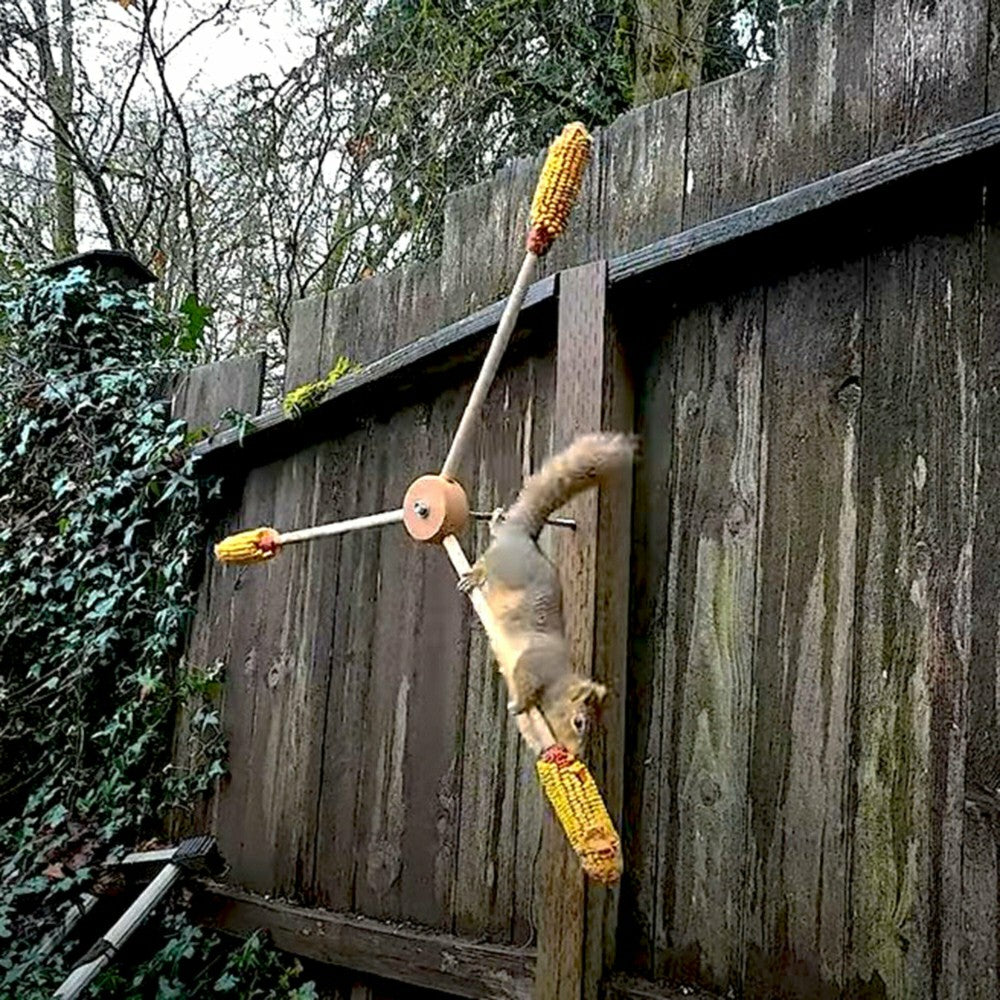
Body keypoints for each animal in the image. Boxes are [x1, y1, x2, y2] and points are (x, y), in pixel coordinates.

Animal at [458, 432, 637, 756]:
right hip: (507, 567)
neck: (558, 681)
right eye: (579, 722)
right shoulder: (533, 667)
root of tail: (522, 535)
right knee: (487, 562)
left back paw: (496, 521)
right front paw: (518, 704)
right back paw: (476, 573)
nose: (576, 754)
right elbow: (525, 685)